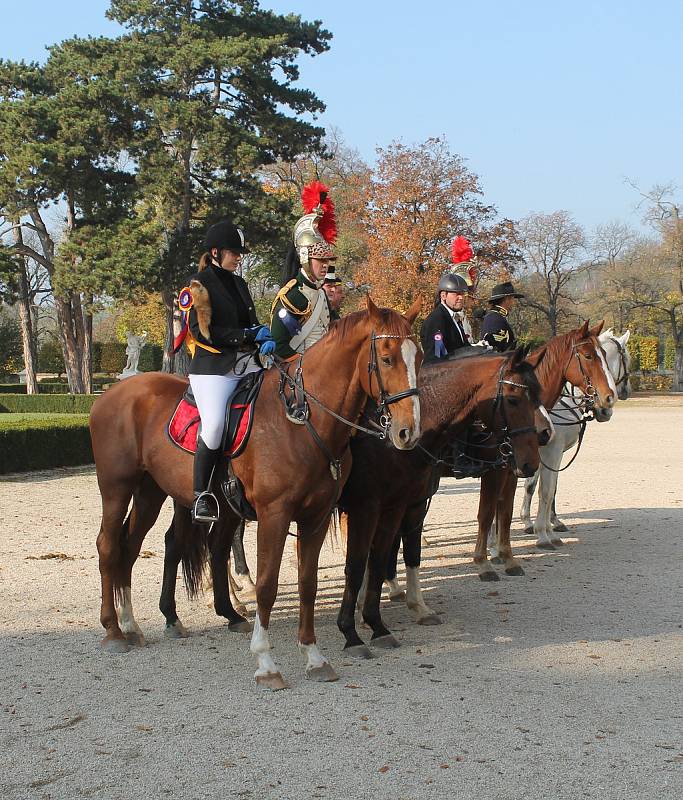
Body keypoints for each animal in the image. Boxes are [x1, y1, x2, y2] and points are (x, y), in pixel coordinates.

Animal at [90, 298, 422, 688]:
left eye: (418, 357)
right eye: (386, 358)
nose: (407, 432)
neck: (301, 418)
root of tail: (112, 393)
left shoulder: (316, 517)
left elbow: (307, 583)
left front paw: (313, 656)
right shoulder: (275, 515)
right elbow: (267, 585)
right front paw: (266, 662)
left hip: (150, 494)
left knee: (132, 547)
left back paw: (133, 624)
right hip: (117, 488)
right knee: (109, 546)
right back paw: (113, 630)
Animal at [336, 346, 544, 652]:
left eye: (538, 396)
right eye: (514, 399)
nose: (531, 462)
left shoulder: (411, 504)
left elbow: (408, 553)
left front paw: (417, 607)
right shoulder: (369, 507)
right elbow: (365, 559)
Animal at [520, 332, 632, 552]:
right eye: (626, 359)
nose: (606, 409)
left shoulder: (548, 454)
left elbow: (544, 486)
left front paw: (543, 523)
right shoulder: (550, 451)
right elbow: (540, 488)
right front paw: (540, 529)